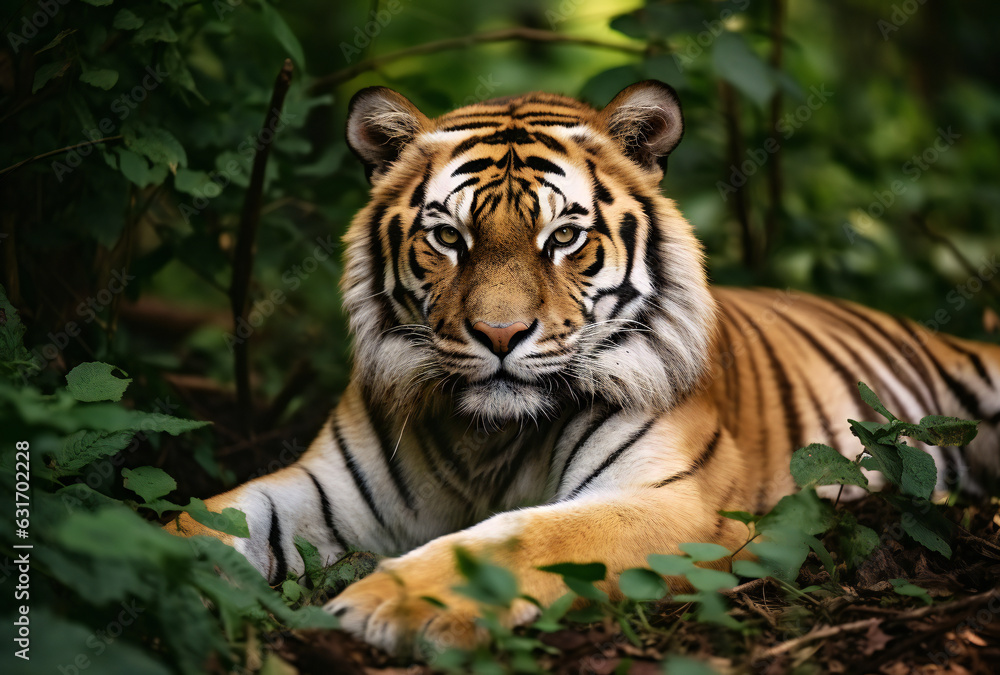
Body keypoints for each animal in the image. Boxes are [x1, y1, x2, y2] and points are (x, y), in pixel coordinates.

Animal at [172, 82, 1000, 656]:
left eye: (563, 237)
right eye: (449, 237)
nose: (499, 333)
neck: (487, 437)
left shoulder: (670, 497)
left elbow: (515, 537)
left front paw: (388, 606)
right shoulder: (327, 486)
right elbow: (199, 518)